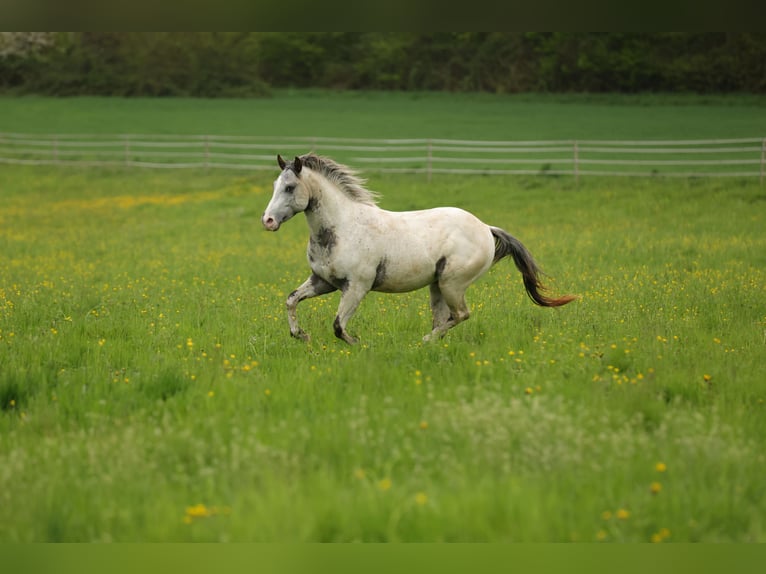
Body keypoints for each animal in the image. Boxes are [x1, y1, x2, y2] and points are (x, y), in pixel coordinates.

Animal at [261, 153, 575, 344]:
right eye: (276, 184)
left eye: (290, 187)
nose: (268, 221)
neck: (343, 227)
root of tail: (486, 228)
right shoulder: (323, 281)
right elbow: (291, 300)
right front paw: (301, 335)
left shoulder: (357, 286)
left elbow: (339, 326)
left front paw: (359, 343)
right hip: (437, 286)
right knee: (444, 319)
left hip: (452, 284)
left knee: (460, 315)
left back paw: (423, 342)